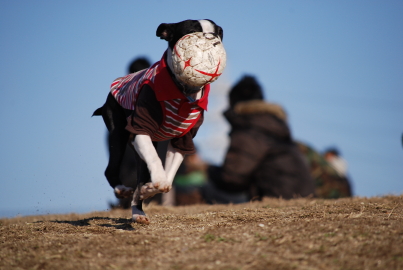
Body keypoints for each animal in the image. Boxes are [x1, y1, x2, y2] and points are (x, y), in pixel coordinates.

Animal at [94, 20, 226, 224]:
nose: (211, 38)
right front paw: (156, 181)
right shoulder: (141, 130)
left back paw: (138, 211)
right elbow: (156, 162)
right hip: (118, 134)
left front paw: (150, 189)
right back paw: (122, 190)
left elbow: (169, 178)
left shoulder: (183, 140)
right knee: (112, 168)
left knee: (139, 178)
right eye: (191, 31)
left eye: (218, 32)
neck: (184, 91)